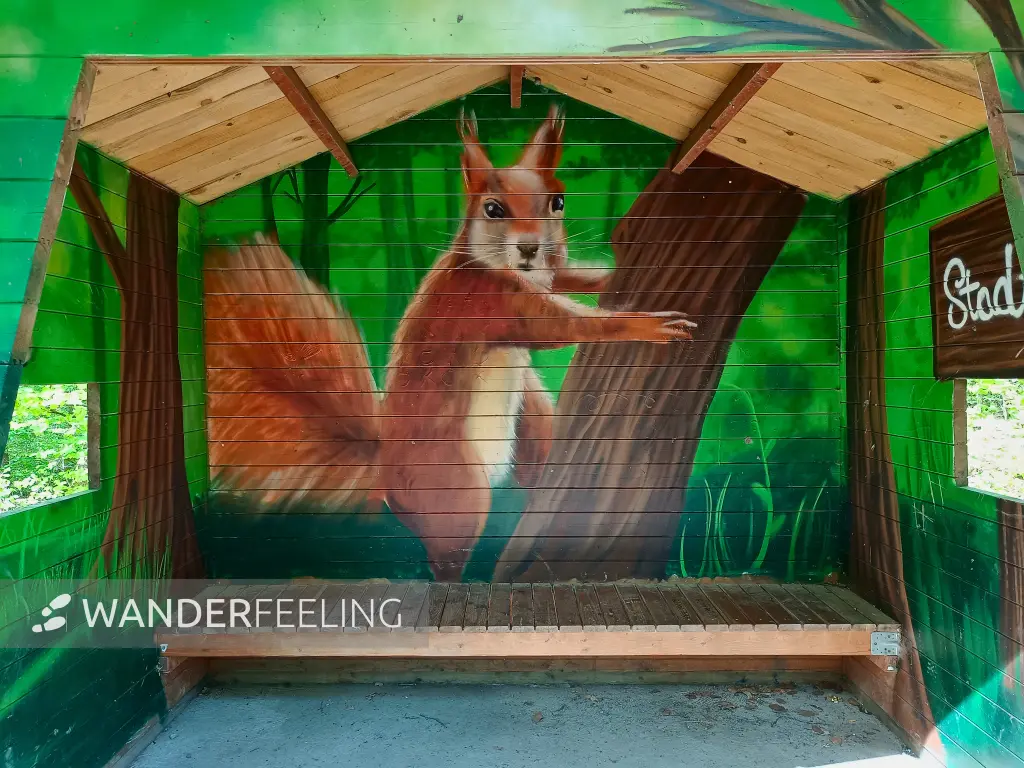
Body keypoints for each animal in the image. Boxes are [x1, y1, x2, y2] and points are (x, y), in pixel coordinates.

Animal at [205, 104, 694, 581]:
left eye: (558, 201)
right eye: (492, 209)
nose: (532, 248)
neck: (491, 264)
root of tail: (383, 468)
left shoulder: (545, 278)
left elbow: (568, 278)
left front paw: (606, 278)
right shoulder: (488, 305)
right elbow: (561, 328)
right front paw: (649, 325)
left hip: (532, 419)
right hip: (454, 488)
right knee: (446, 556)